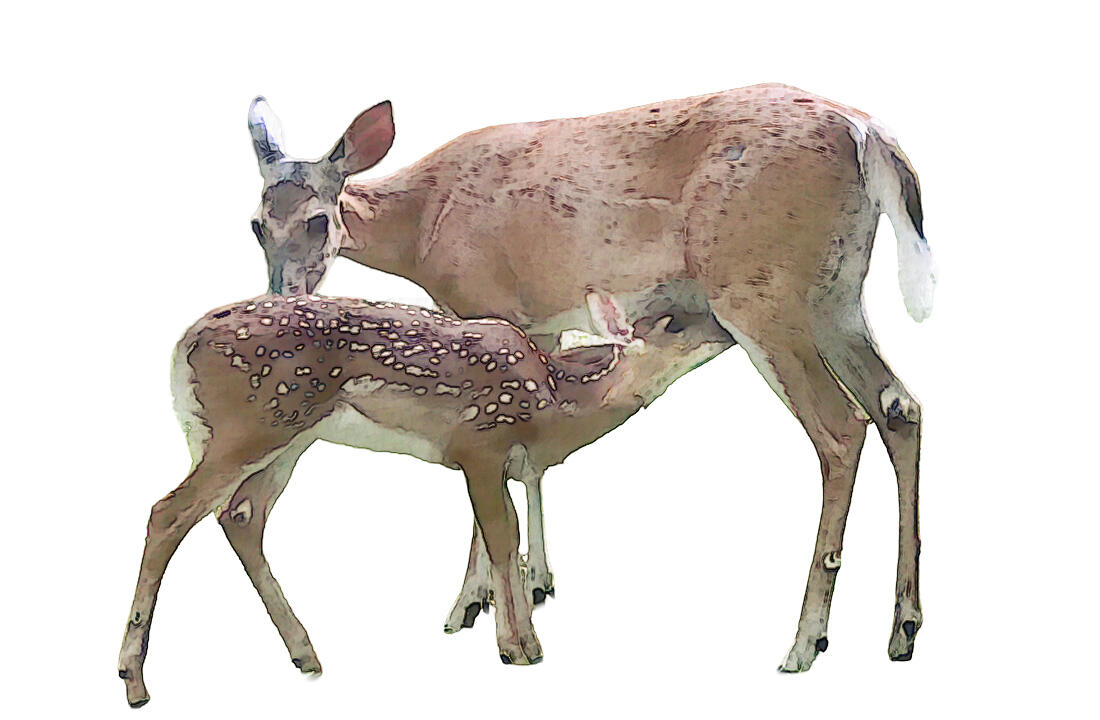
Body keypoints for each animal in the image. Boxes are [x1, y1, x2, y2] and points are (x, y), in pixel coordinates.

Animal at [117, 282, 733, 706]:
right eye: (675, 324)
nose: (729, 331)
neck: (553, 405)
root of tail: (183, 345)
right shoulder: (480, 440)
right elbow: (502, 536)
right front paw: (520, 648)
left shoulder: (501, 461)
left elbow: (494, 538)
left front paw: (495, 629)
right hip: (249, 426)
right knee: (168, 512)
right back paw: (133, 678)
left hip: (290, 437)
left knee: (240, 517)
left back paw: (305, 653)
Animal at [243, 82, 935, 675]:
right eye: (255, 224)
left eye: (317, 219)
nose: (282, 295)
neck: (421, 229)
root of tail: (870, 132)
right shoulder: (538, 323)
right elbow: (533, 460)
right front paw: (531, 585)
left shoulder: (482, 303)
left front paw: (469, 605)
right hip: (836, 296)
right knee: (900, 407)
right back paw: (902, 628)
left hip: (759, 289)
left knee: (839, 428)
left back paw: (804, 641)